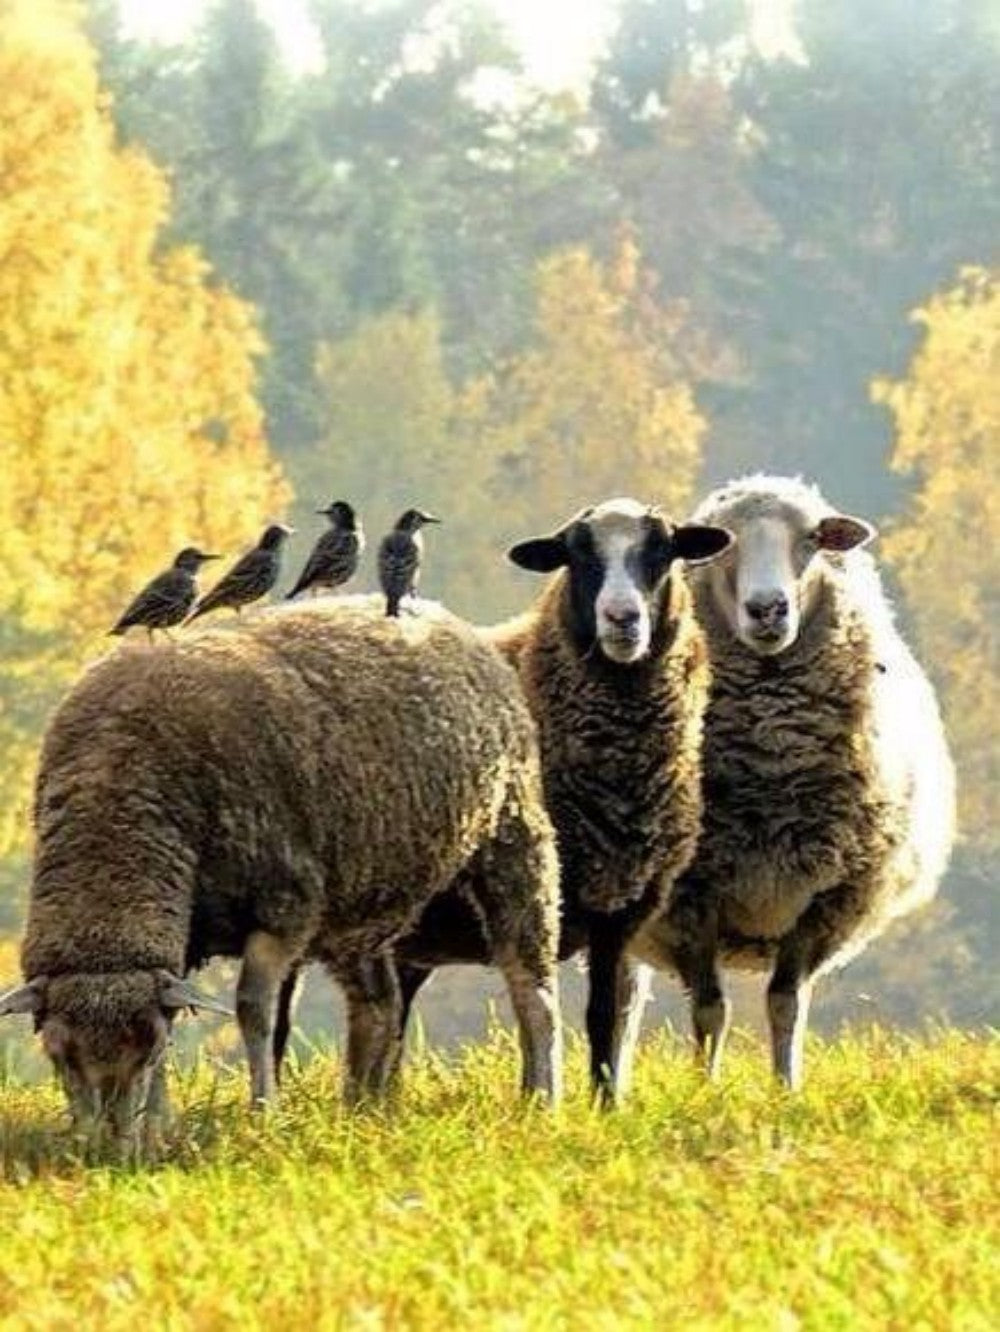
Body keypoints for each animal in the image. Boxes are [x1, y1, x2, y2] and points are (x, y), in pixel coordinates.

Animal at [0, 600, 562, 1143]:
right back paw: (361, 1109)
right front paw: (157, 1129)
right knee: (379, 1004)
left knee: (531, 987)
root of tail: (448, 618)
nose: (105, 1144)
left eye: (150, 1048)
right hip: (360, 902)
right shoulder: (183, 936)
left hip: (514, 837)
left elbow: (253, 1009)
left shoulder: (285, 907)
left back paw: (539, 1099)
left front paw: (262, 1113)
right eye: (56, 1051)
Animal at [305, 499, 732, 1105]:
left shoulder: (619, 908)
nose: (622, 619)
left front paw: (604, 1105)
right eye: (578, 555)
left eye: (662, 549)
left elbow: (604, 1017)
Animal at [631, 474, 956, 1088]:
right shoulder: (692, 900)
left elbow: (785, 1004)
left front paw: (787, 1089)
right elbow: (710, 1008)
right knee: (624, 1000)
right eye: (722, 543)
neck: (771, 761)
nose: (768, 608)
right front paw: (705, 1088)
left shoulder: (823, 899)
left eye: (812, 539)